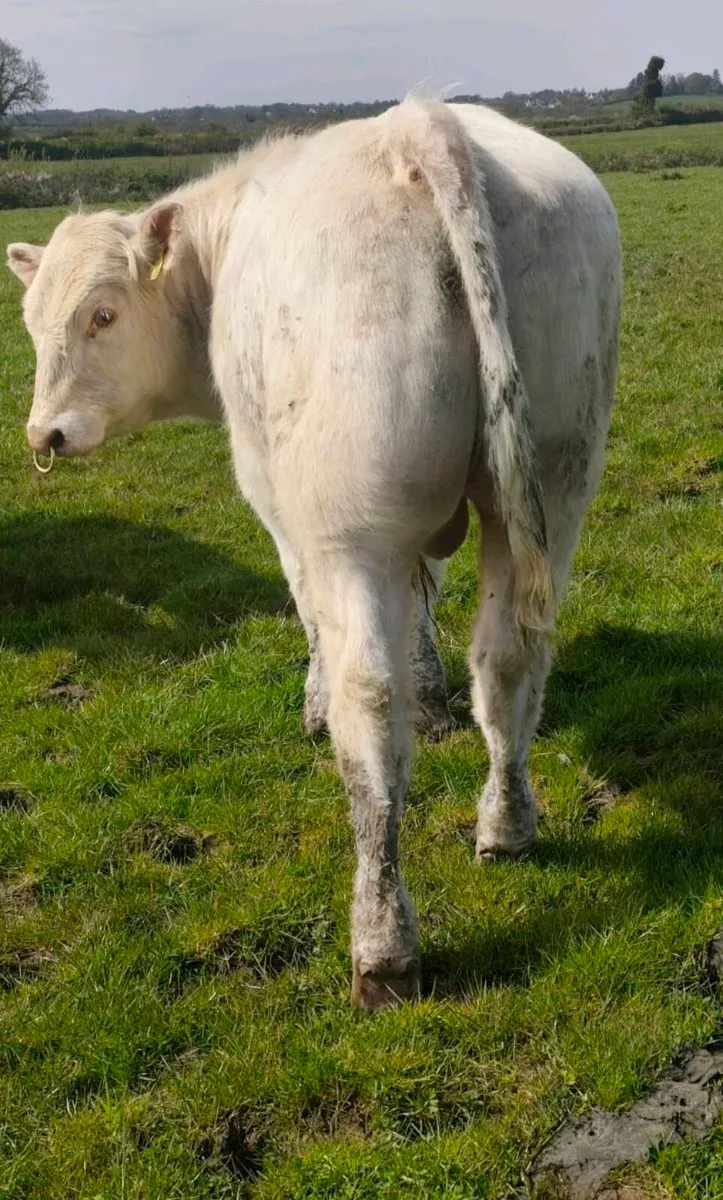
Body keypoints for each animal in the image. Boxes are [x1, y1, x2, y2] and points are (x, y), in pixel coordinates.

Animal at [7, 100, 622, 1010]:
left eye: (103, 314)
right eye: (31, 324)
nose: (43, 434)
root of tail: (420, 124)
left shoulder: (280, 507)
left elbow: (310, 616)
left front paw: (312, 700)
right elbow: (427, 601)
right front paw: (434, 695)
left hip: (349, 529)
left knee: (369, 708)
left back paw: (382, 945)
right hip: (554, 478)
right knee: (511, 656)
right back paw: (506, 825)